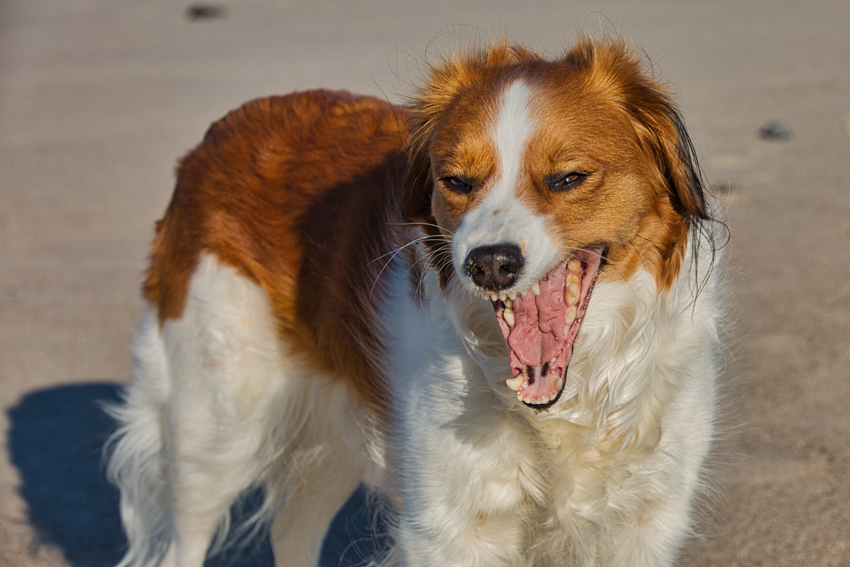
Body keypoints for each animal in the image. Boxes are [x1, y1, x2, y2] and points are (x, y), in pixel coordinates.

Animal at [102, 36, 720, 567]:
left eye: (568, 178)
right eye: (456, 181)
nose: (487, 264)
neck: (574, 399)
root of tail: (215, 136)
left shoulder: (644, 524)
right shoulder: (449, 531)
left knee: (290, 530)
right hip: (217, 426)